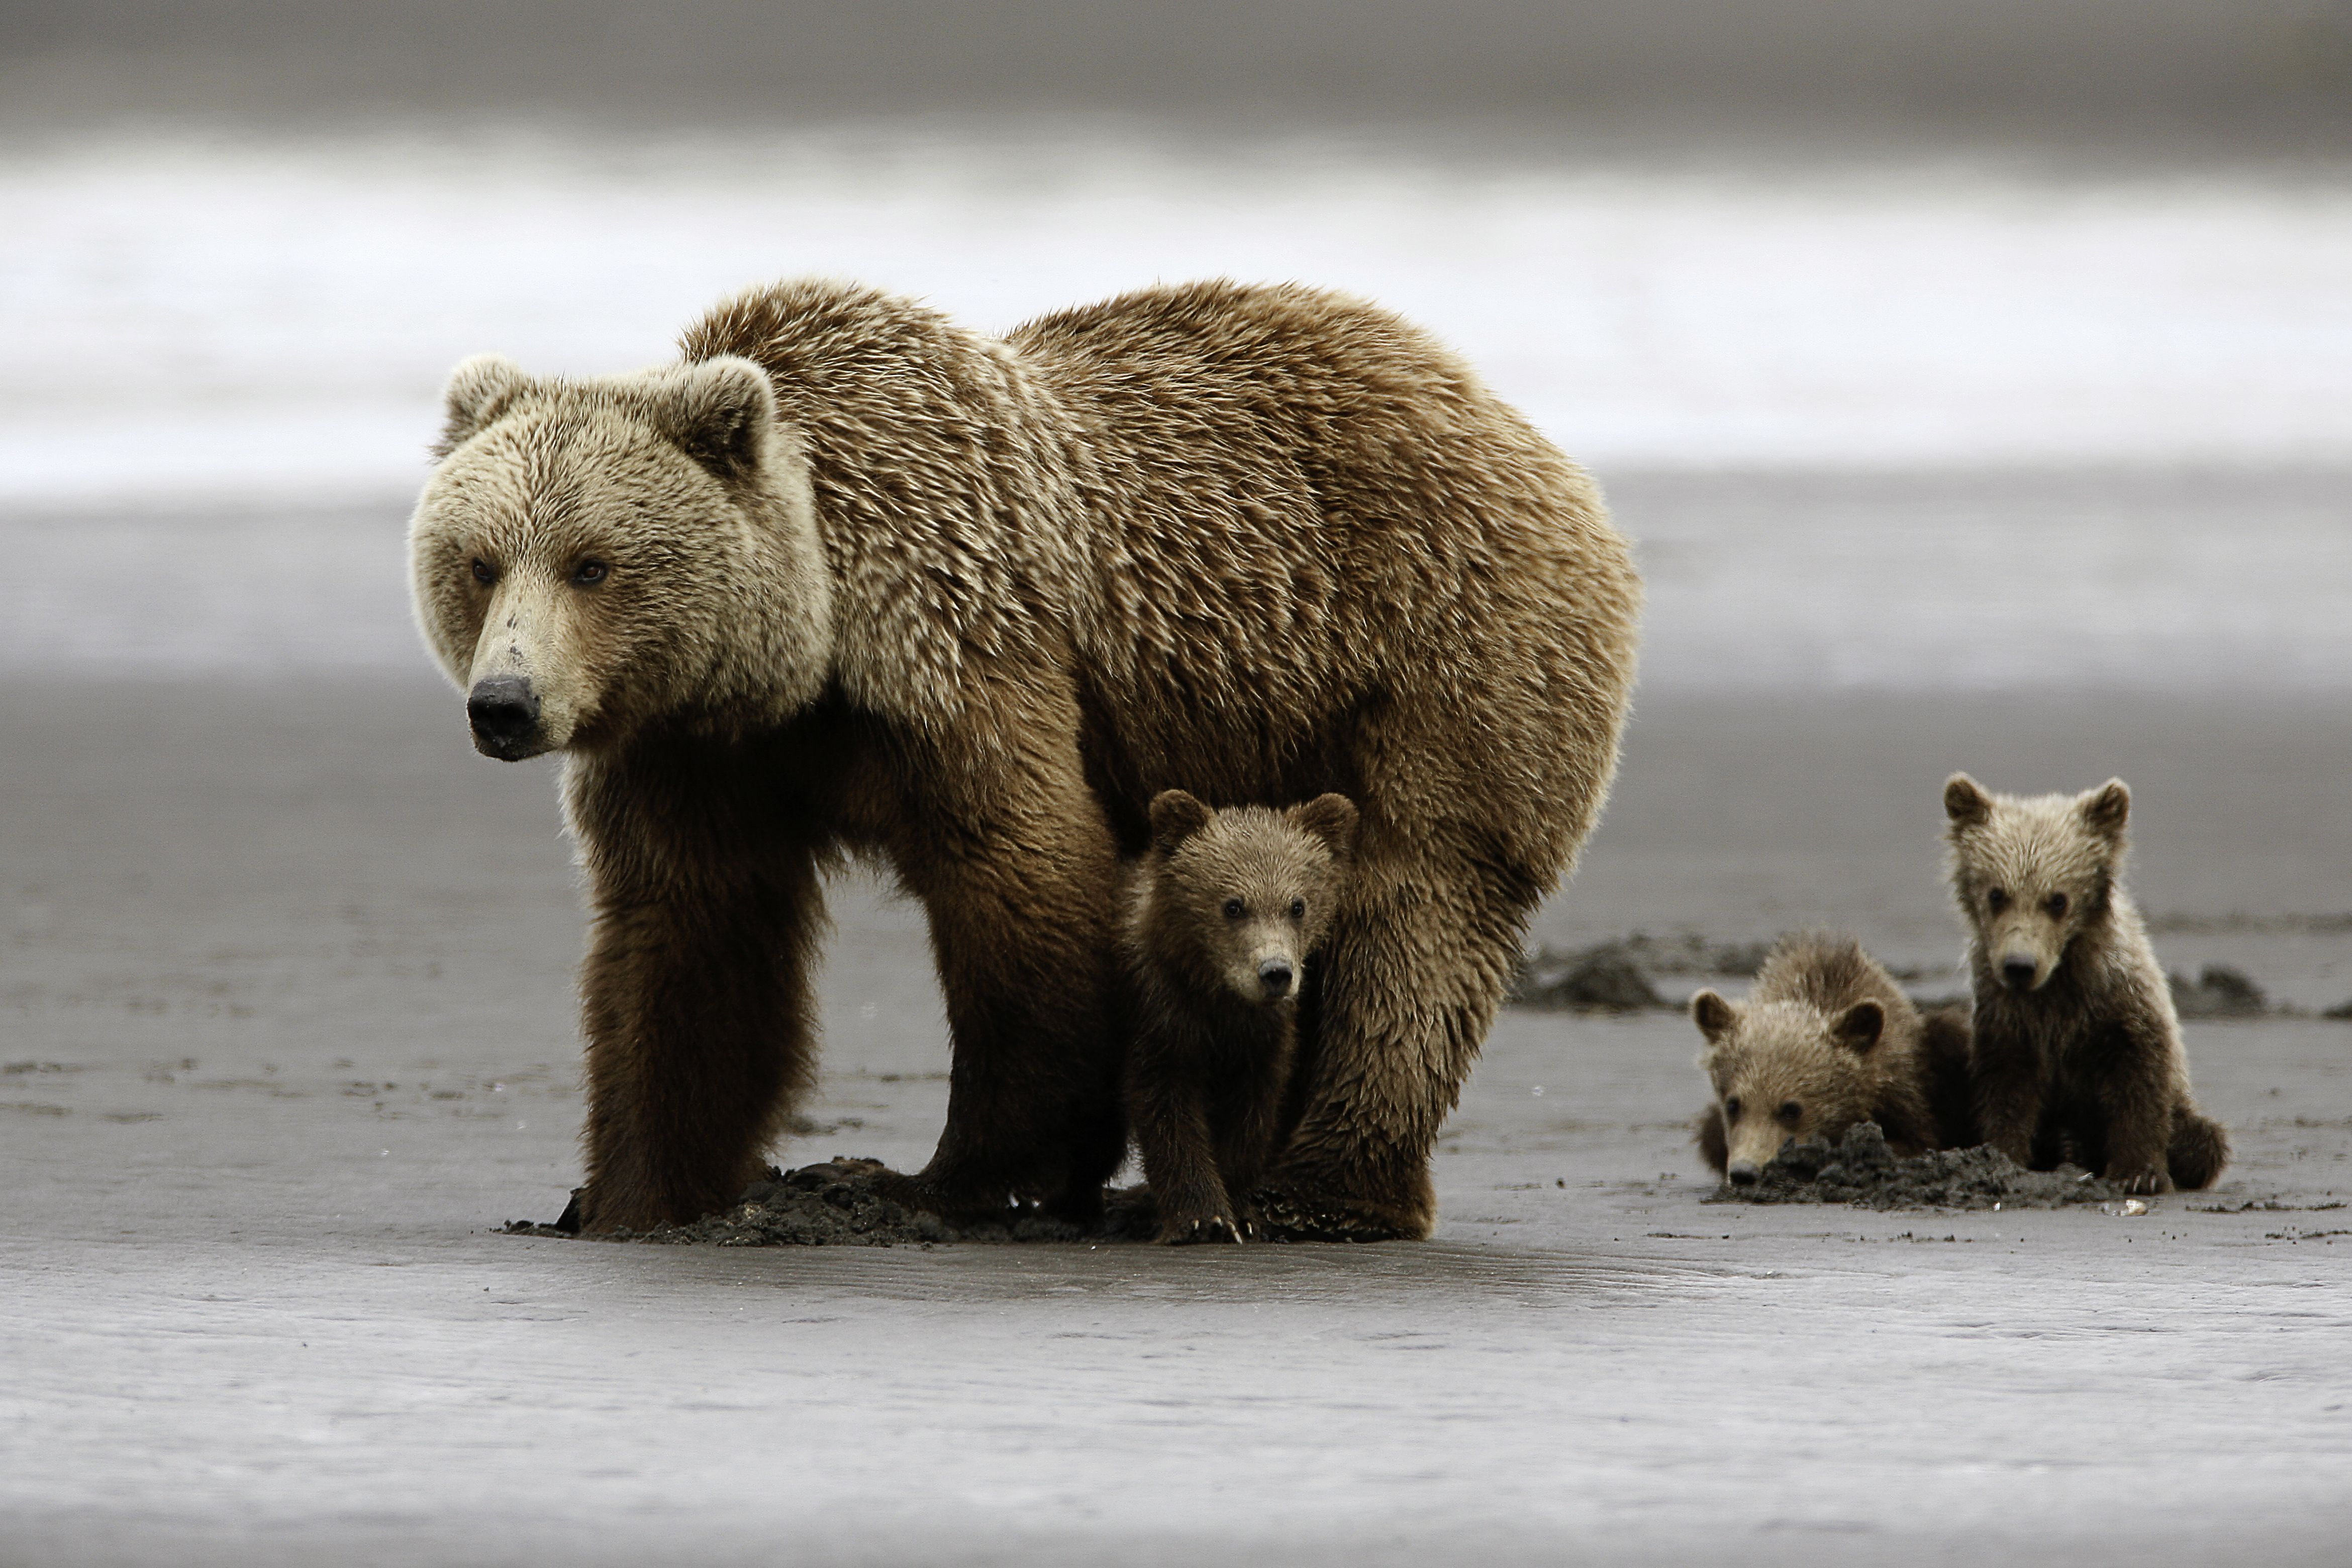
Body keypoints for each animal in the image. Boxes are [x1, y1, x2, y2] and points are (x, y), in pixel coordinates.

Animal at [1122, 789, 1357, 1244]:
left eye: (1297, 905)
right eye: (1233, 906)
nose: (1275, 972)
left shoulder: (1264, 1040)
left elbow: (1252, 1116)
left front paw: (1242, 1212)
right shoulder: (1162, 1017)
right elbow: (1168, 1112)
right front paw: (1202, 1218)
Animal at [1942, 773, 2229, 1194]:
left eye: (2058, 900)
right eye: (1997, 894)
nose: (2019, 966)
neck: (2059, 983)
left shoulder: (2119, 1003)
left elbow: (2141, 1079)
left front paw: (2139, 1173)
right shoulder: (2008, 1016)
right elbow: (2006, 1086)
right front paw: (2000, 1156)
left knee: (2206, 1139)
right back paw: (2066, 1145)